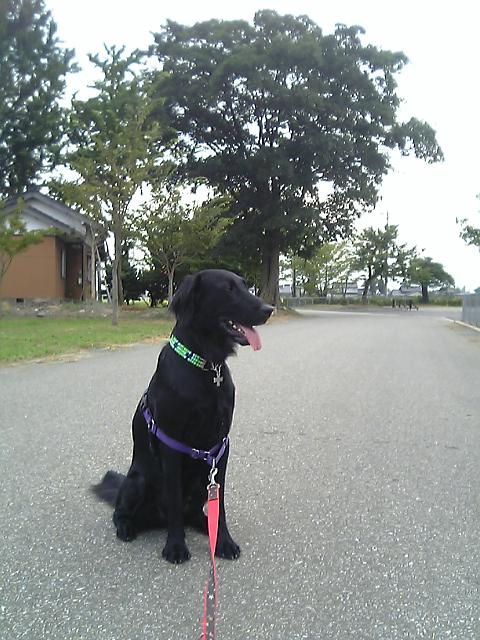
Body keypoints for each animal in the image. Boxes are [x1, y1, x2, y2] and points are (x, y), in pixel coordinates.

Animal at [92, 269, 273, 564]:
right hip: (137, 482)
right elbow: (175, 502)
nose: (269, 310)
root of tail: (155, 519)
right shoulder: (172, 444)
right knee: (121, 513)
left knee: (196, 512)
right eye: (228, 289)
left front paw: (223, 541)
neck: (206, 367)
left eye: (245, 286)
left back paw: (202, 525)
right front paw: (175, 546)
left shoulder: (221, 446)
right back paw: (127, 527)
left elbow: (220, 504)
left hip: (200, 482)